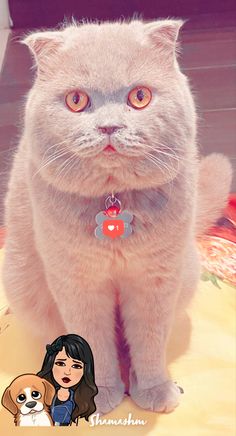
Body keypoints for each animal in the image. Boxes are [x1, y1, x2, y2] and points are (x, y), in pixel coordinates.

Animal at [2, 17, 232, 416]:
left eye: (139, 97)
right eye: (76, 100)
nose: (109, 127)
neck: (115, 204)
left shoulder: (155, 280)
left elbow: (150, 342)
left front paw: (154, 391)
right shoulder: (79, 284)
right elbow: (91, 343)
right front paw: (96, 395)